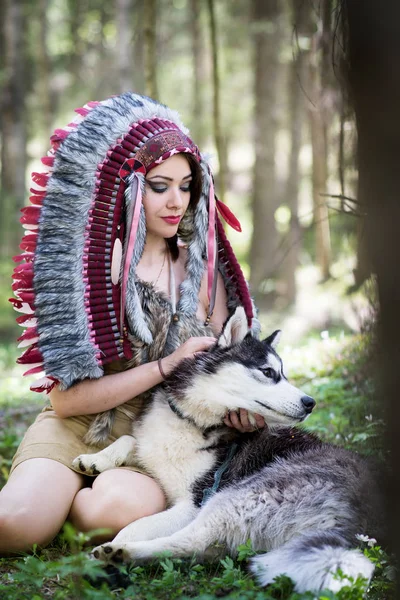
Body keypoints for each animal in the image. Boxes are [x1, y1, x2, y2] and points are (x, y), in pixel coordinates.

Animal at [74, 310, 384, 596]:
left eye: (282, 373)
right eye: (268, 372)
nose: (310, 402)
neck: (194, 422)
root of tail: (364, 515)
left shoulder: (192, 503)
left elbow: (139, 524)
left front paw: (114, 548)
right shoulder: (151, 447)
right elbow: (129, 439)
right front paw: (95, 460)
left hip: (237, 495)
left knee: (190, 541)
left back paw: (119, 554)